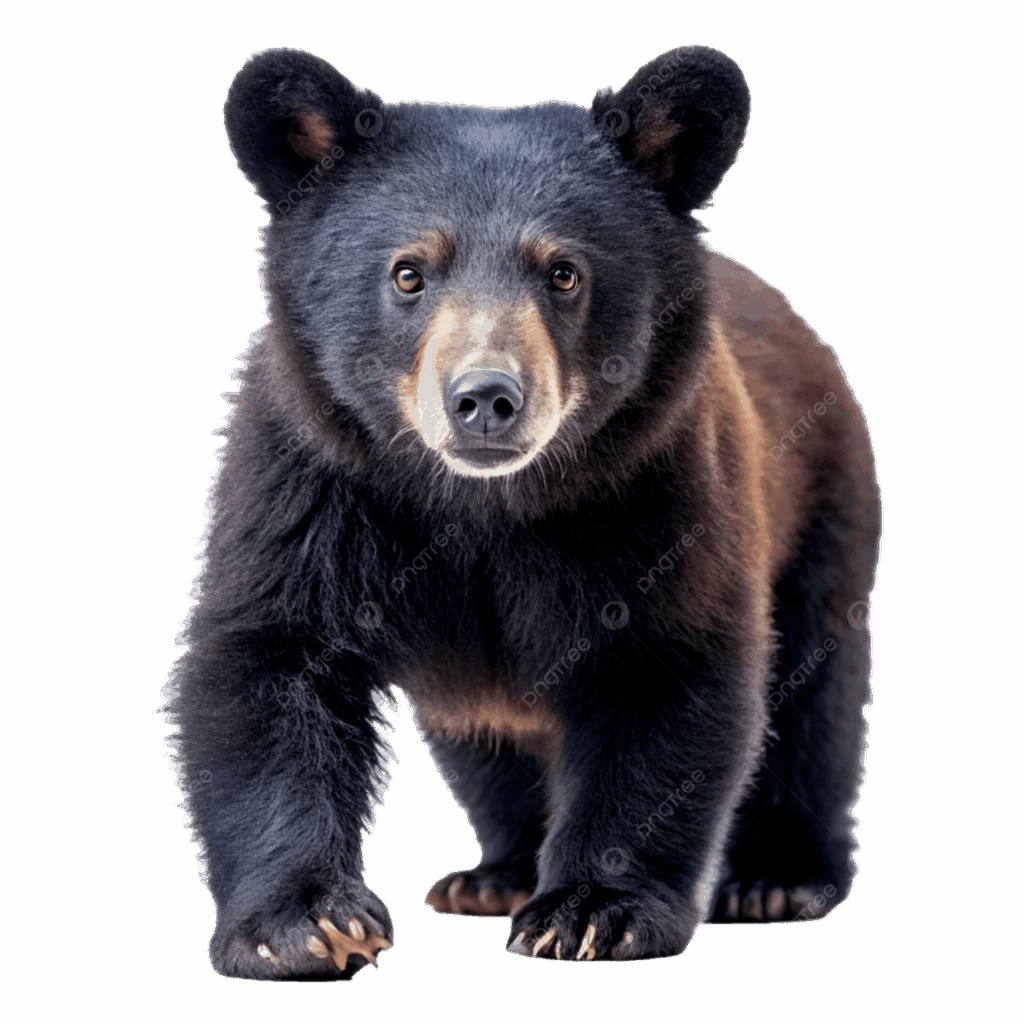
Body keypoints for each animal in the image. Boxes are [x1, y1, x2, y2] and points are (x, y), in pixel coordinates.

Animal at [160, 43, 881, 979]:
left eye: (563, 271)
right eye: (408, 271)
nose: (485, 399)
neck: (485, 507)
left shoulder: (659, 490)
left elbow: (665, 671)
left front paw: (592, 911)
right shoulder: (308, 481)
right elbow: (268, 662)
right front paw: (305, 923)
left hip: (825, 509)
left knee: (816, 701)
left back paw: (777, 878)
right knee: (484, 749)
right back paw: (494, 873)